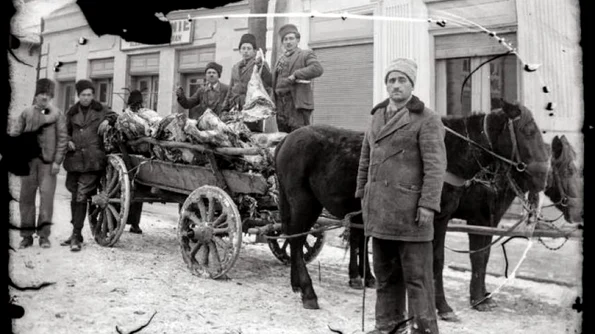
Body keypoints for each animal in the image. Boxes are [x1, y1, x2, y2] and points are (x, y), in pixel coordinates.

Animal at [278, 100, 552, 310]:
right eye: (528, 131)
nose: (543, 176)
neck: (448, 155)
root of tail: (287, 138)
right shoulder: (463, 219)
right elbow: (448, 260)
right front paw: (450, 304)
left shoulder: (445, 219)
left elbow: (458, 259)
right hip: (304, 203)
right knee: (297, 239)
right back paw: (309, 291)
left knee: (300, 239)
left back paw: (302, 282)